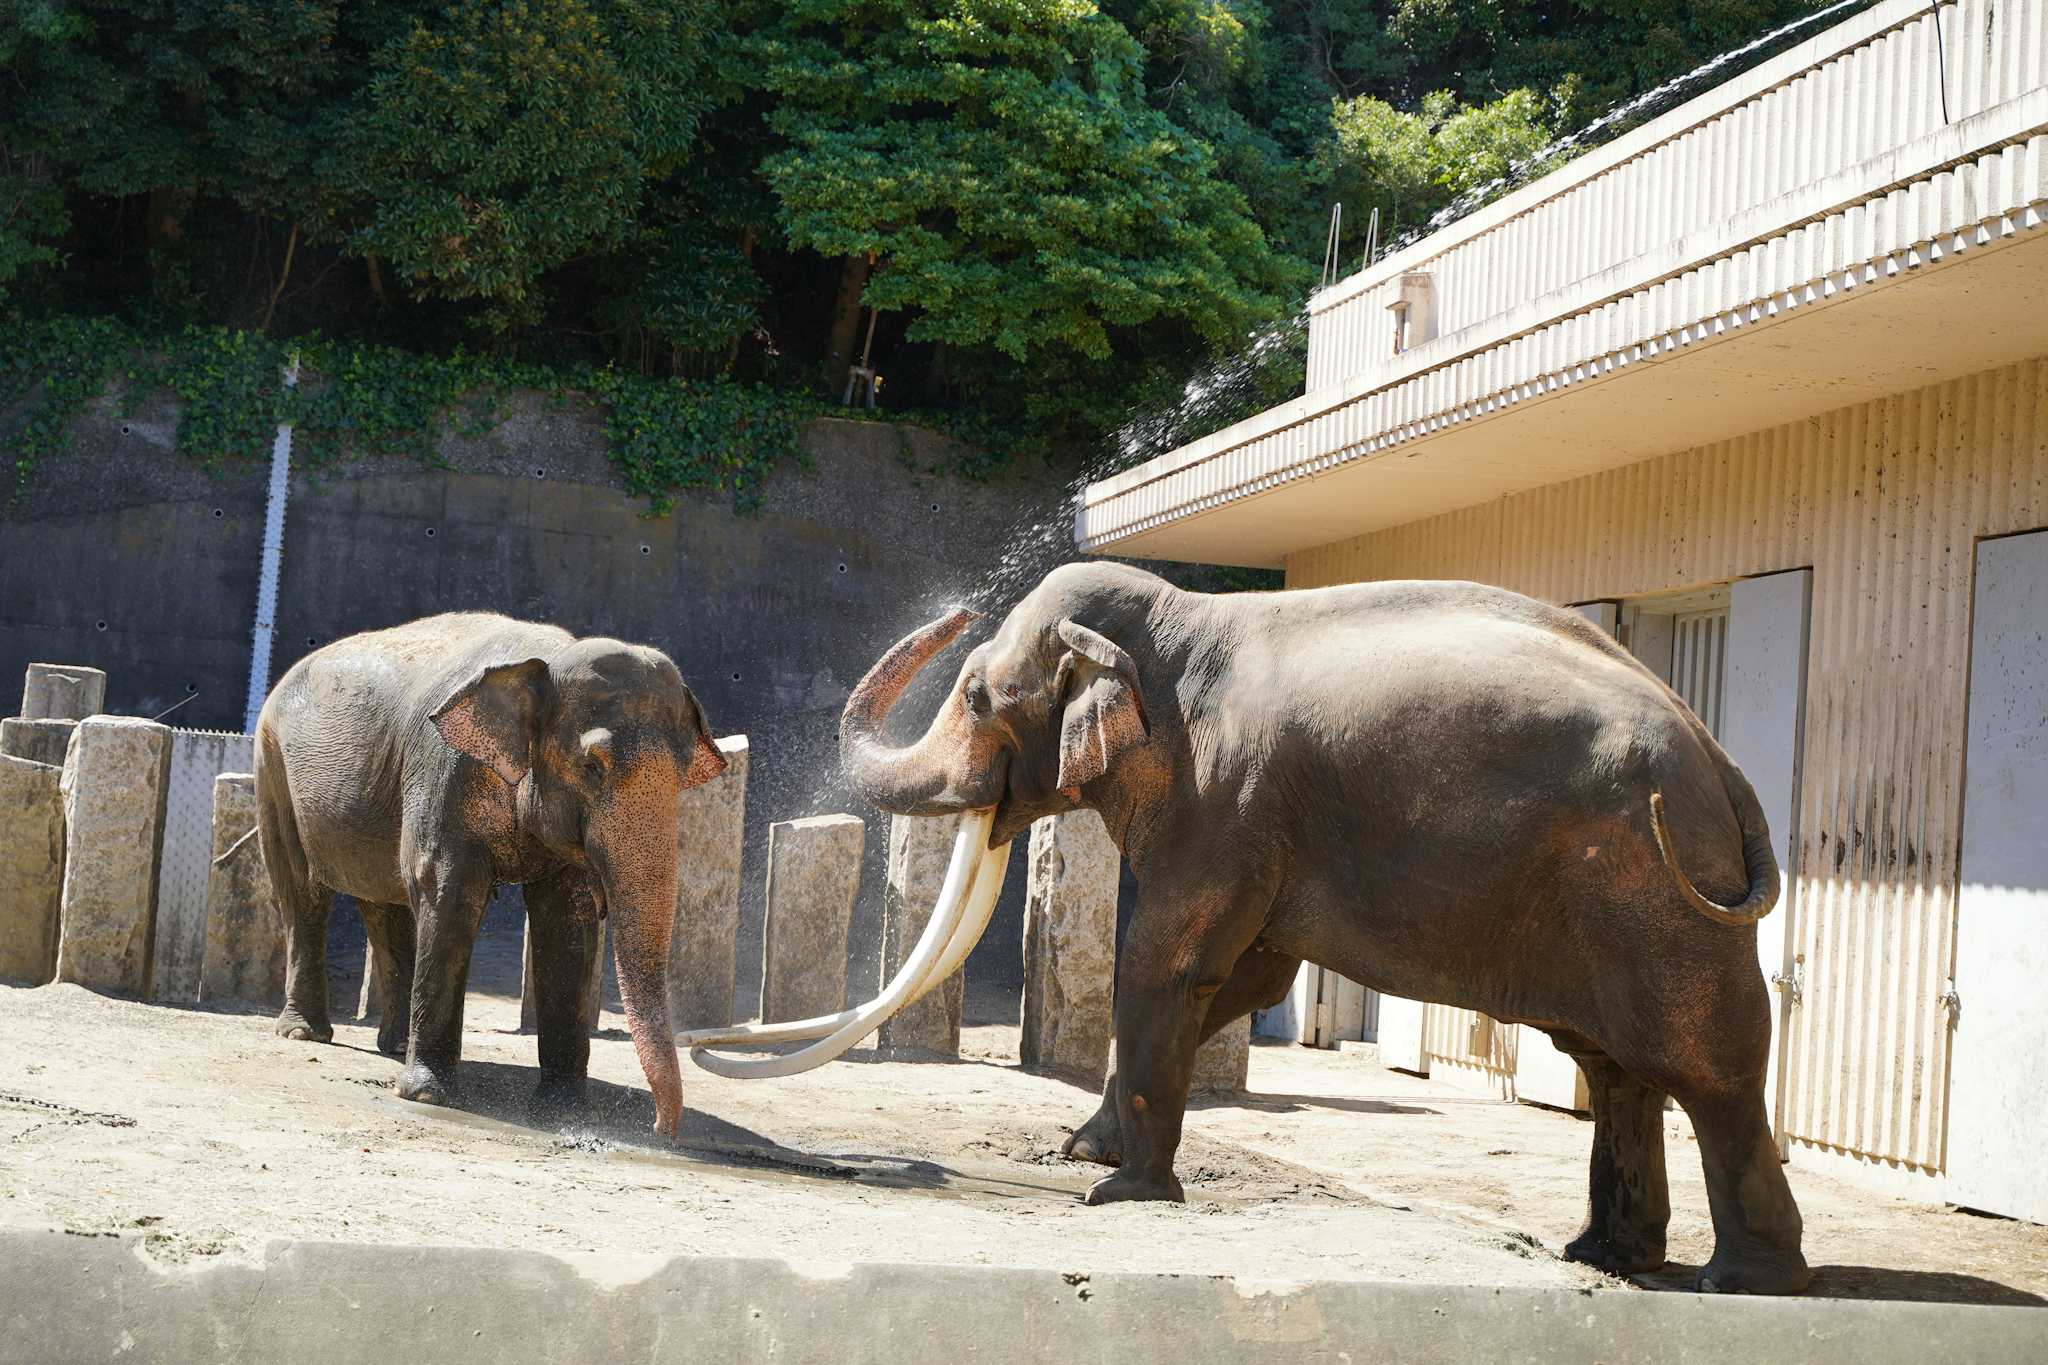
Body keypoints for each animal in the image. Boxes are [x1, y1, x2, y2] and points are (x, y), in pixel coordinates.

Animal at [806, 564, 1818, 1301]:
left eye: (978, 697)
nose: (959, 609)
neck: (1177, 621)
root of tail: (1720, 759)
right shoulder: (1253, 825)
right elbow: (1241, 980)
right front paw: (1085, 1149)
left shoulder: (1222, 800)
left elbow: (1166, 964)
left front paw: (1118, 1191)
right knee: (1613, 1066)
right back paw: (1604, 1258)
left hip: (1658, 894)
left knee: (1705, 1068)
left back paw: (1741, 1281)